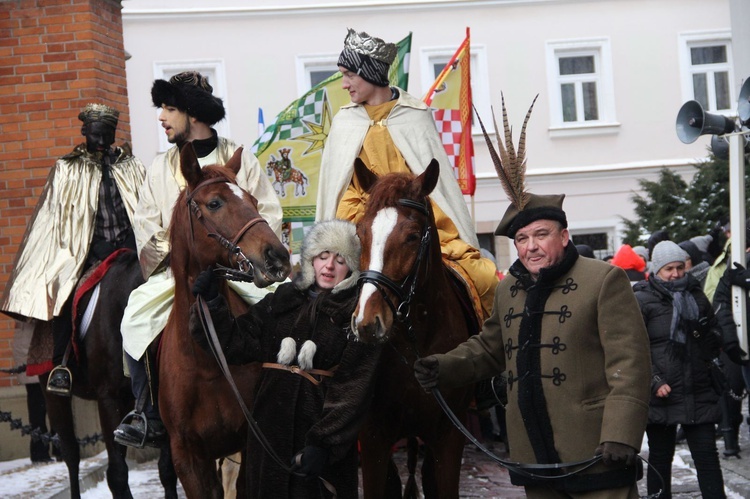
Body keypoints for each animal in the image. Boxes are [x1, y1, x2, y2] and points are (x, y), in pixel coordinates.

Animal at [160, 143, 292, 498]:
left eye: (254, 201)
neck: (207, 361)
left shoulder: (249, 438)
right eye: (215, 203)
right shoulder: (187, 456)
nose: (277, 257)